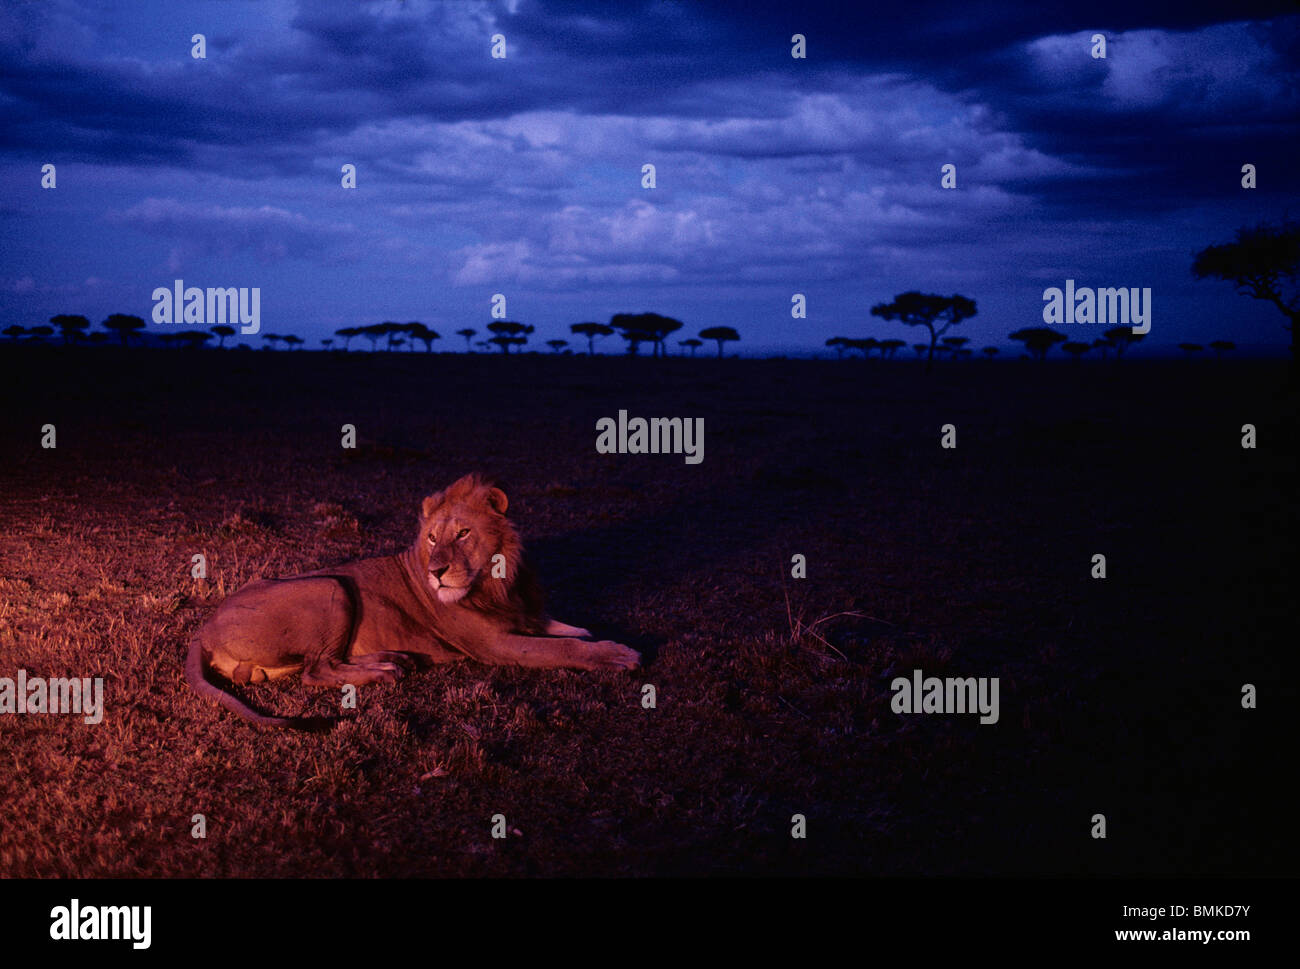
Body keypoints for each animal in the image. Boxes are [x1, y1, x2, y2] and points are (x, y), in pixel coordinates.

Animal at [185, 473, 640, 728]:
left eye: (463, 534)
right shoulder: (494, 646)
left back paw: (393, 659)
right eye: (433, 538)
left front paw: (590, 631)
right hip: (331, 586)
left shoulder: (520, 613)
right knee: (316, 671)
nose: (437, 572)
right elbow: (562, 647)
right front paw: (618, 653)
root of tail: (203, 629)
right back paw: (385, 671)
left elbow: (562, 627)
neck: (497, 581)